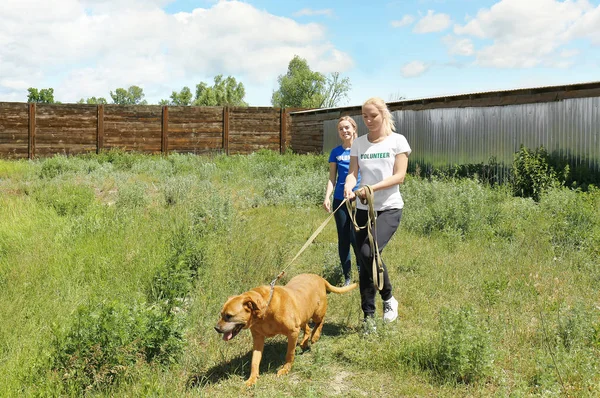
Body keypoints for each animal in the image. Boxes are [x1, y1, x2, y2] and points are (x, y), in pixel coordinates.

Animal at [216, 274, 356, 386]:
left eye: (229, 316)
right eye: (221, 314)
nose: (216, 328)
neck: (265, 310)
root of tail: (319, 277)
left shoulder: (293, 332)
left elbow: (290, 354)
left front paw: (286, 369)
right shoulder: (258, 338)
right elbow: (254, 361)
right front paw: (252, 379)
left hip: (317, 313)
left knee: (320, 322)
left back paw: (315, 336)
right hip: (303, 315)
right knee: (308, 328)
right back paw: (305, 342)